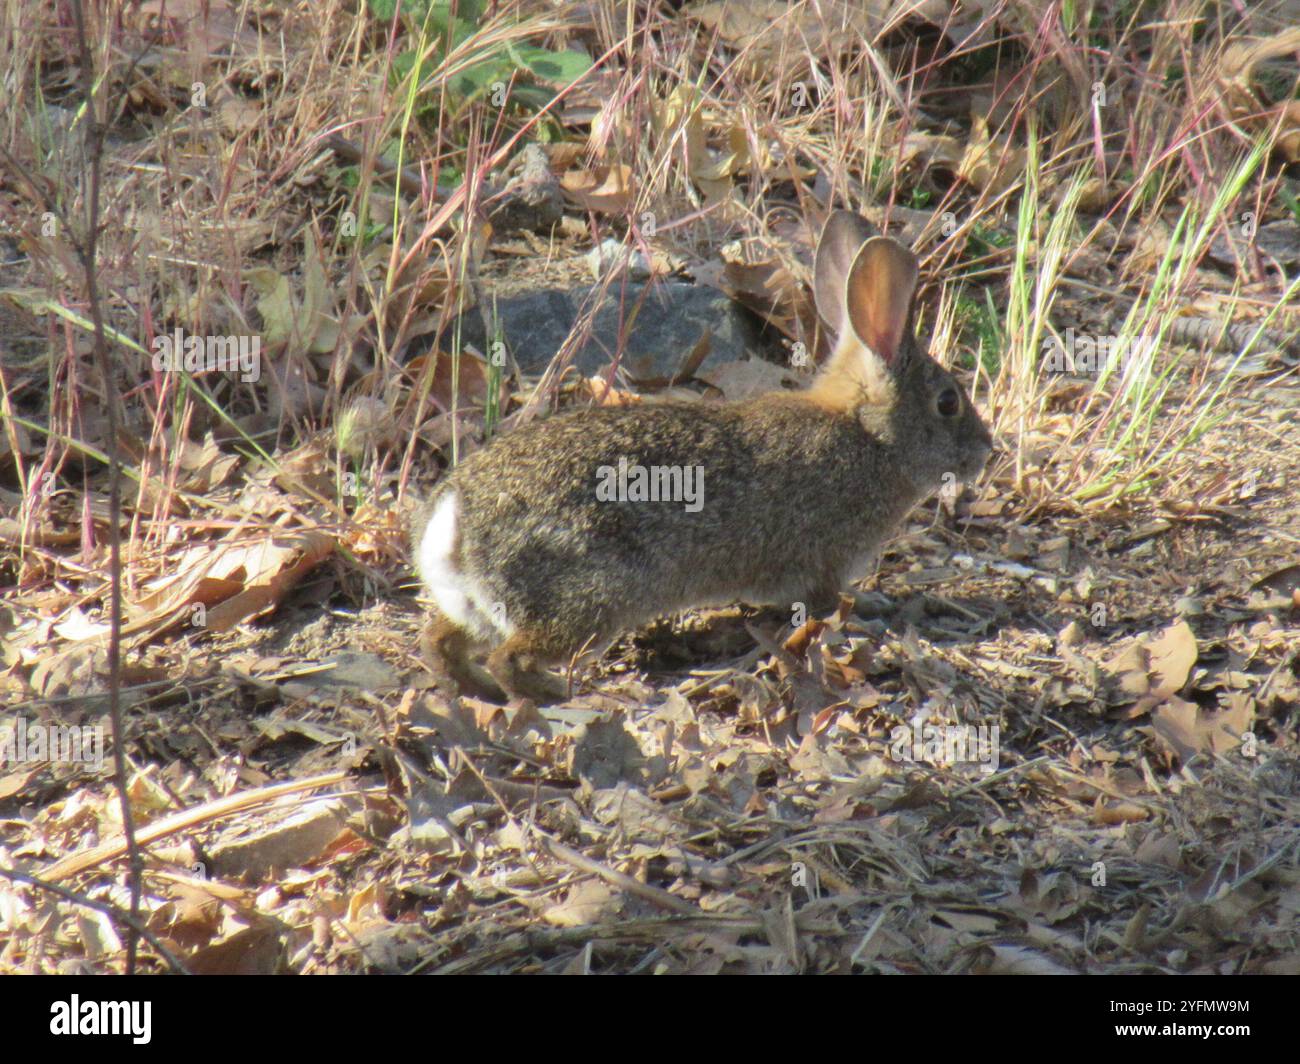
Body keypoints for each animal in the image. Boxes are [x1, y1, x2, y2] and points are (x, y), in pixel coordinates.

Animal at [412, 211, 994, 702]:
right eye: (947, 403)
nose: (985, 451)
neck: (869, 434)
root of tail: (455, 519)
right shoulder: (822, 563)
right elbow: (826, 603)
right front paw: (870, 610)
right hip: (590, 597)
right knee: (512, 655)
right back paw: (553, 695)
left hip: (480, 608)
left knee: (440, 643)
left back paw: (477, 689)